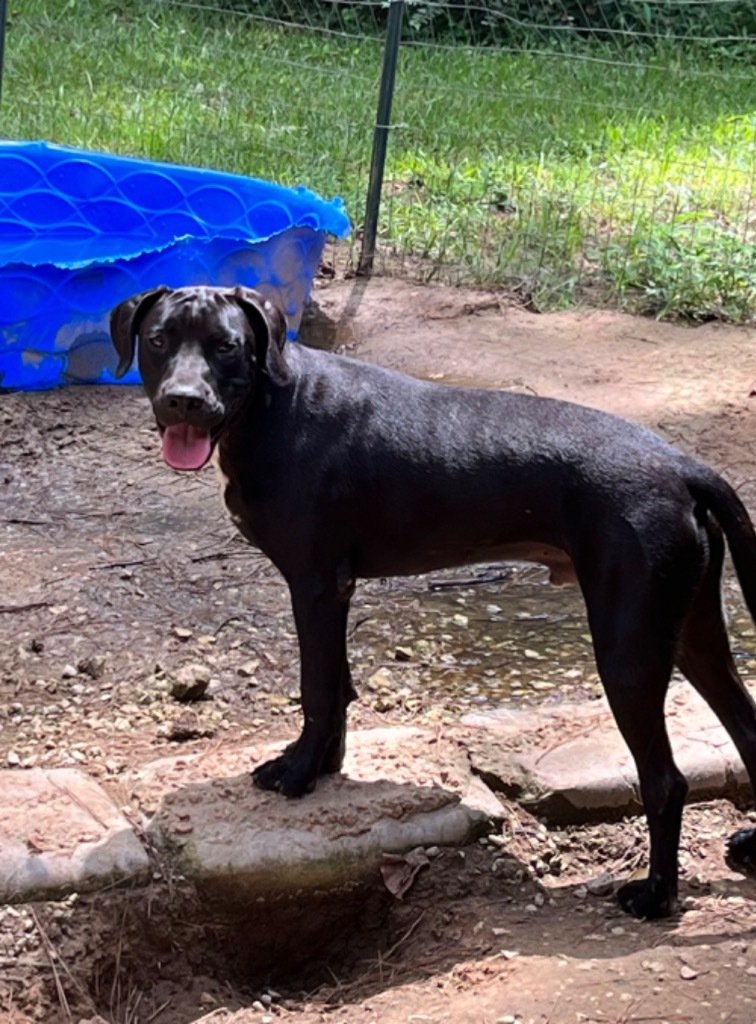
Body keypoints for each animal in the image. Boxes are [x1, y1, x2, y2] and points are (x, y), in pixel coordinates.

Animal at [107, 286, 756, 921]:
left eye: (226, 346)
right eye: (159, 340)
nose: (184, 401)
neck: (272, 408)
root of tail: (682, 467)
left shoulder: (314, 584)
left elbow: (317, 689)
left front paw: (298, 773)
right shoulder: (335, 590)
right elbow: (337, 688)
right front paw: (324, 765)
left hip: (629, 649)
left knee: (666, 781)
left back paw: (655, 895)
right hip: (692, 633)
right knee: (746, 728)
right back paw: (748, 848)